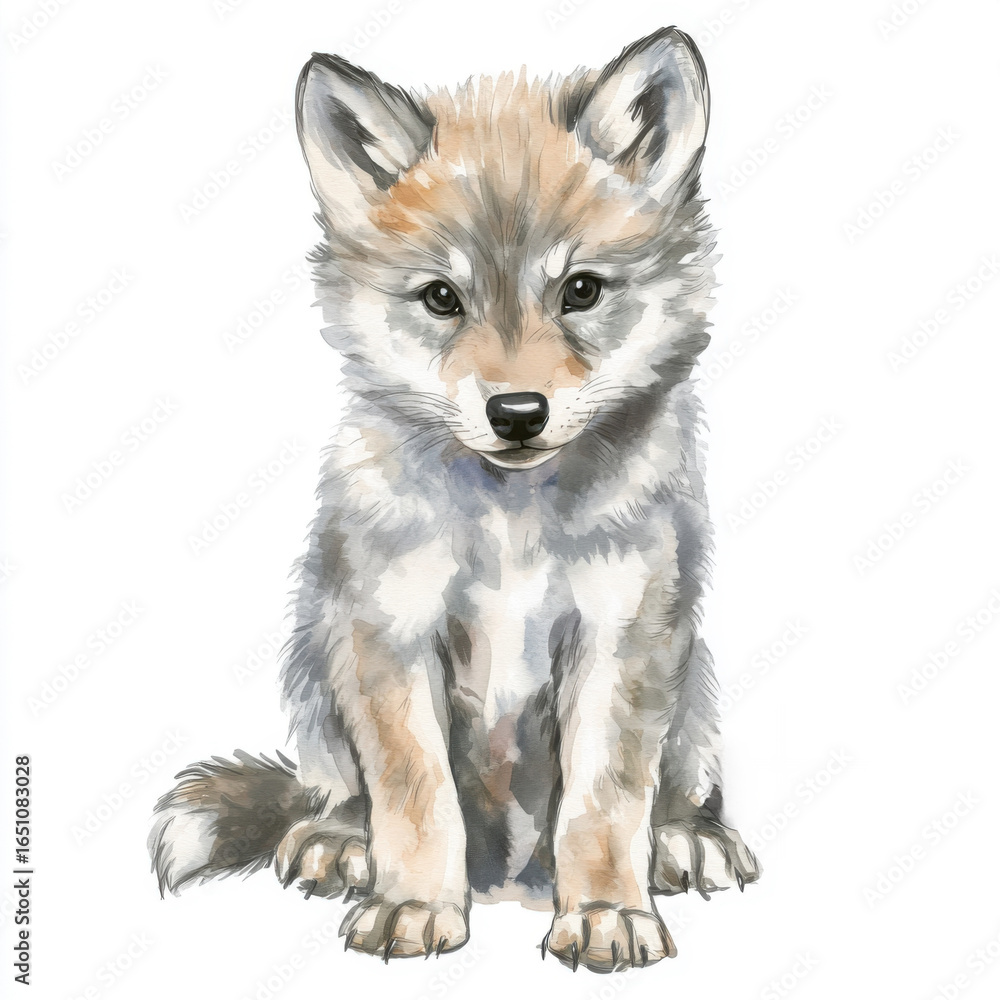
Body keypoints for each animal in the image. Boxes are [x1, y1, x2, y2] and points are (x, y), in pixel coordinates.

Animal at [150, 27, 760, 972]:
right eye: (442, 298)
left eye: (581, 290)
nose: (517, 414)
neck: (513, 523)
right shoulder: (392, 633)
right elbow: (415, 796)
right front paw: (410, 903)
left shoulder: (619, 634)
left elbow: (603, 804)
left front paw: (607, 913)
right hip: (316, 653)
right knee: (335, 793)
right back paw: (339, 843)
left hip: (686, 676)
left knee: (678, 791)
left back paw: (685, 838)